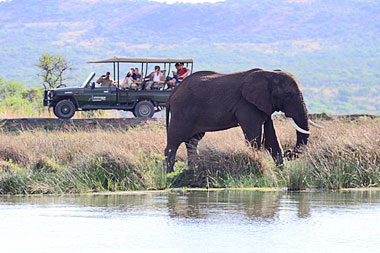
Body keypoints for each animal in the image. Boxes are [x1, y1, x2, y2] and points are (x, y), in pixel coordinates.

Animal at [165, 68, 322, 173]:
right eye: (288, 95)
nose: (289, 153)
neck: (269, 73)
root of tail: (172, 94)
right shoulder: (246, 105)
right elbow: (255, 138)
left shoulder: (264, 104)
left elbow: (272, 140)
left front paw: (281, 172)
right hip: (182, 111)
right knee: (175, 140)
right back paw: (168, 173)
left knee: (193, 141)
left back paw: (193, 170)